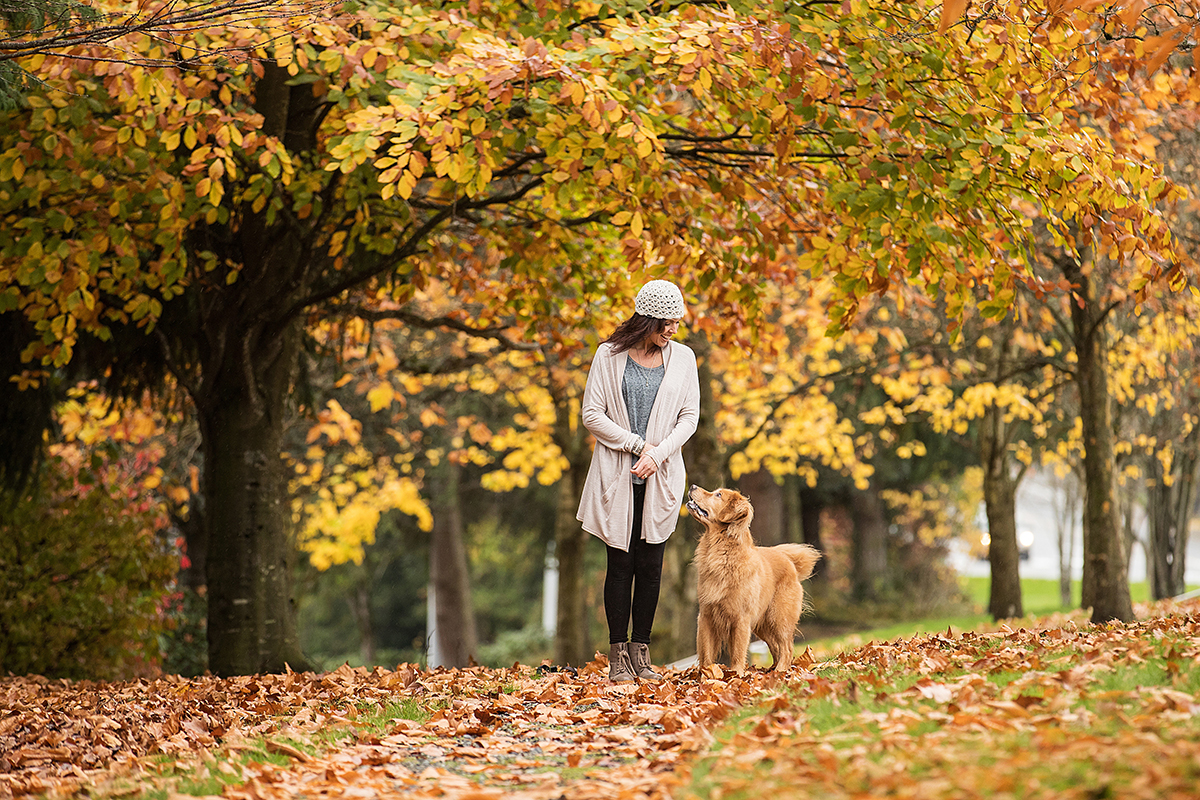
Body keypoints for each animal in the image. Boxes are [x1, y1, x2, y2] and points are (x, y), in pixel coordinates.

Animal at [691, 484, 820, 671]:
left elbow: (738, 652)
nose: (692, 486)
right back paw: (772, 670)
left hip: (779, 616)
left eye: (718, 495)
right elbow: (706, 652)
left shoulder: (741, 618)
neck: (721, 552)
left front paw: (735, 674)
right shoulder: (706, 615)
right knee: (776, 647)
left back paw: (780, 671)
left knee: (786, 647)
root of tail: (787, 557)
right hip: (764, 624)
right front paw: (707, 674)